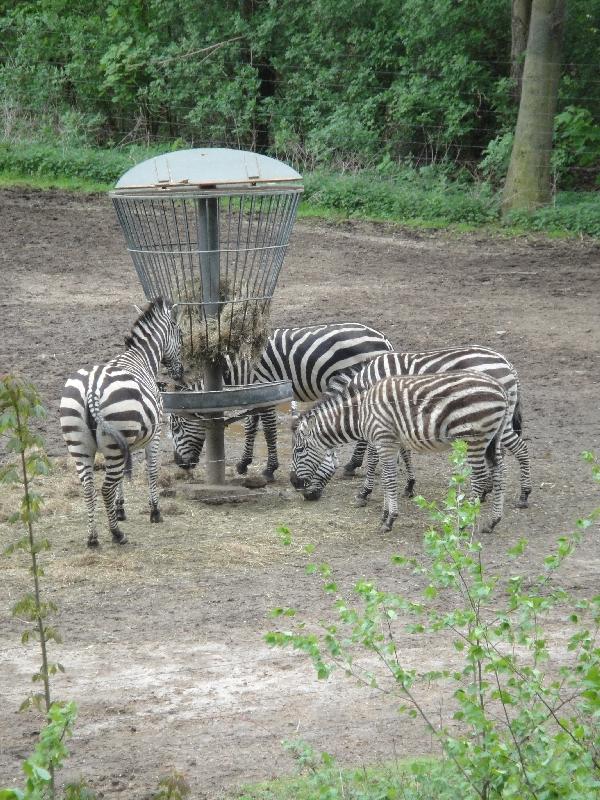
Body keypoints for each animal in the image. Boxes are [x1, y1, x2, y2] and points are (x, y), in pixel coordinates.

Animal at [60, 296, 184, 548]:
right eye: (181, 334)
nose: (180, 373)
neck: (141, 358)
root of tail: (92, 387)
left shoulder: (126, 441)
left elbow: (123, 477)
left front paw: (119, 510)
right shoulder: (155, 434)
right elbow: (151, 470)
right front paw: (155, 511)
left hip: (81, 443)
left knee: (89, 488)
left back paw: (93, 537)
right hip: (114, 441)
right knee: (105, 488)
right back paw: (117, 534)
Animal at [169, 322, 396, 478]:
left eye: (176, 428)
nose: (179, 464)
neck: (240, 369)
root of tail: (384, 339)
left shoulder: (266, 388)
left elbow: (269, 431)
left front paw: (270, 469)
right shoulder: (254, 394)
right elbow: (250, 428)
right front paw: (244, 463)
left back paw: (352, 464)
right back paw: (354, 464)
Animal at [290, 372, 510, 536]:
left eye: (299, 450)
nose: (294, 482)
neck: (361, 413)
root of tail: (500, 389)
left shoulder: (384, 441)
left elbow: (388, 480)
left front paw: (389, 520)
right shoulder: (389, 443)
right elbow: (387, 478)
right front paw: (385, 513)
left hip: (473, 438)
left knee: (480, 478)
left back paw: (465, 522)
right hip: (492, 439)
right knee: (499, 473)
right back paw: (492, 521)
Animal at [300, 344, 528, 506]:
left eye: (299, 451)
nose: (297, 486)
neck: (366, 384)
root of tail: (507, 363)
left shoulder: (381, 418)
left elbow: (374, 457)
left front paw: (364, 492)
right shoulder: (397, 420)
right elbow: (405, 452)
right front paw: (410, 486)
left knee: (520, 448)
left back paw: (523, 495)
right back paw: (489, 489)